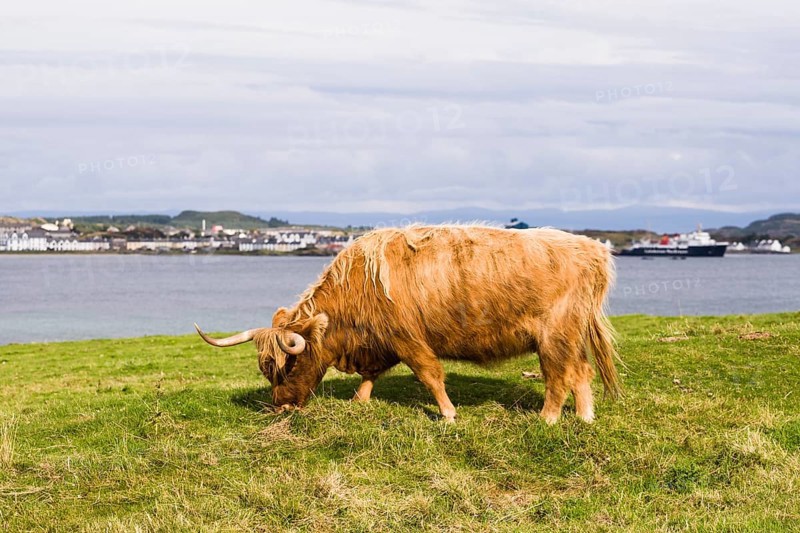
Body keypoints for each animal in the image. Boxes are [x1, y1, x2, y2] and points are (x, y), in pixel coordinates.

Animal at [195, 225, 621, 423]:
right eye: (266, 371)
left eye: (289, 365)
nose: (281, 408)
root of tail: (593, 249)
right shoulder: (381, 341)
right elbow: (372, 374)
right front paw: (360, 400)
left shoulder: (406, 336)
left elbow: (430, 374)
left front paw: (448, 414)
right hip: (572, 335)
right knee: (581, 372)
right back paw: (584, 417)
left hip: (554, 335)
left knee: (559, 376)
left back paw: (547, 419)